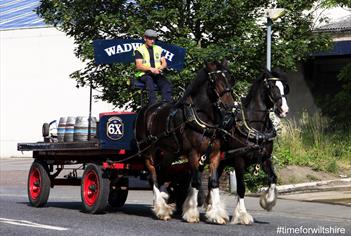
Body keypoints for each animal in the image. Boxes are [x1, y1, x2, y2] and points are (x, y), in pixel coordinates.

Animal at [136, 60, 235, 223]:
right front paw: (191, 213)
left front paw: (216, 214)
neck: (202, 118)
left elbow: (213, 182)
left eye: (230, 79)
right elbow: (196, 181)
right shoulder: (193, 154)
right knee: (153, 176)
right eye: (215, 81)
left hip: (169, 153)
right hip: (147, 153)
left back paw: (164, 199)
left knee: (161, 172)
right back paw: (161, 209)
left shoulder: (214, 154)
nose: (231, 107)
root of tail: (146, 109)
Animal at [219, 69, 290, 224]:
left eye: (284, 88)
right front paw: (242, 215)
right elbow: (241, 187)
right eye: (272, 87)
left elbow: (273, 178)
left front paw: (267, 202)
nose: (284, 110)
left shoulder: (265, 159)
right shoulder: (239, 160)